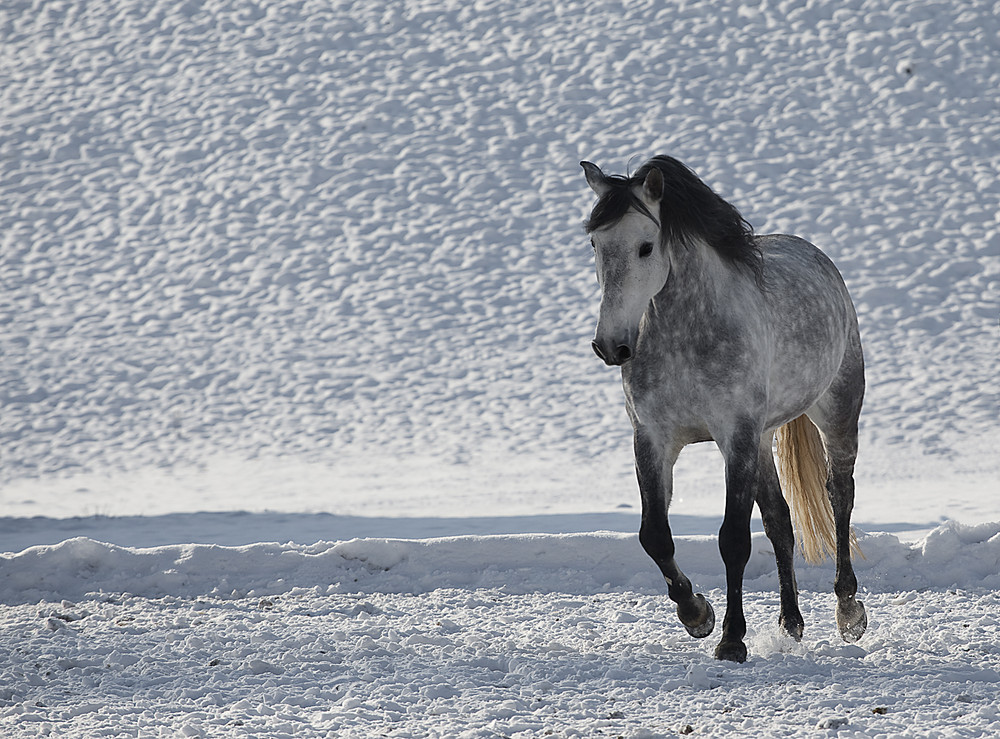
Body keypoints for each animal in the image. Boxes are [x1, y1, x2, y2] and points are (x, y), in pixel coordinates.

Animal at [580, 156, 868, 664]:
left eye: (646, 246)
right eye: (596, 243)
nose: (610, 346)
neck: (685, 335)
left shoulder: (735, 436)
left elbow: (733, 539)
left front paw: (732, 639)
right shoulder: (653, 438)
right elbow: (655, 535)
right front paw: (697, 615)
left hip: (836, 414)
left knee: (840, 497)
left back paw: (848, 610)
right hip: (763, 438)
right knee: (780, 522)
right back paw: (790, 623)